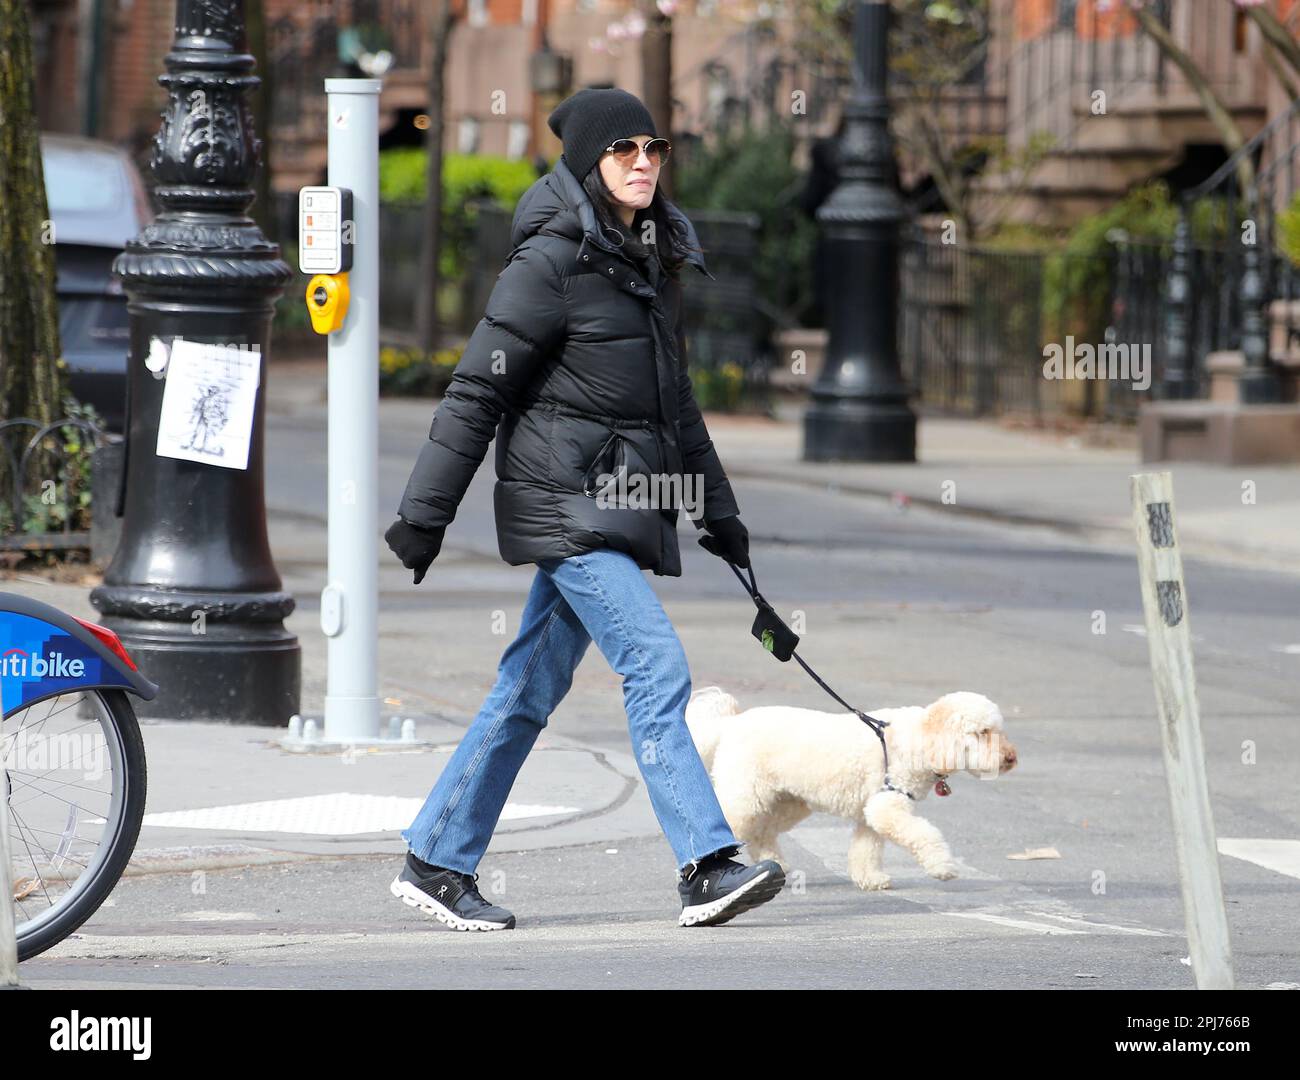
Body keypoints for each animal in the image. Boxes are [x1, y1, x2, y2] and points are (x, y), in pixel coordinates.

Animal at [681, 686, 1013, 888]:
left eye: (998, 730)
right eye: (982, 732)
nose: (1011, 758)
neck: (919, 740)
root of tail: (729, 723)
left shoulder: (872, 810)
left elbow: (867, 848)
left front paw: (871, 878)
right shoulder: (888, 805)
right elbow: (924, 834)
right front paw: (943, 866)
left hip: (787, 800)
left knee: (761, 831)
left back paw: (775, 865)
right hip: (746, 794)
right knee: (736, 823)